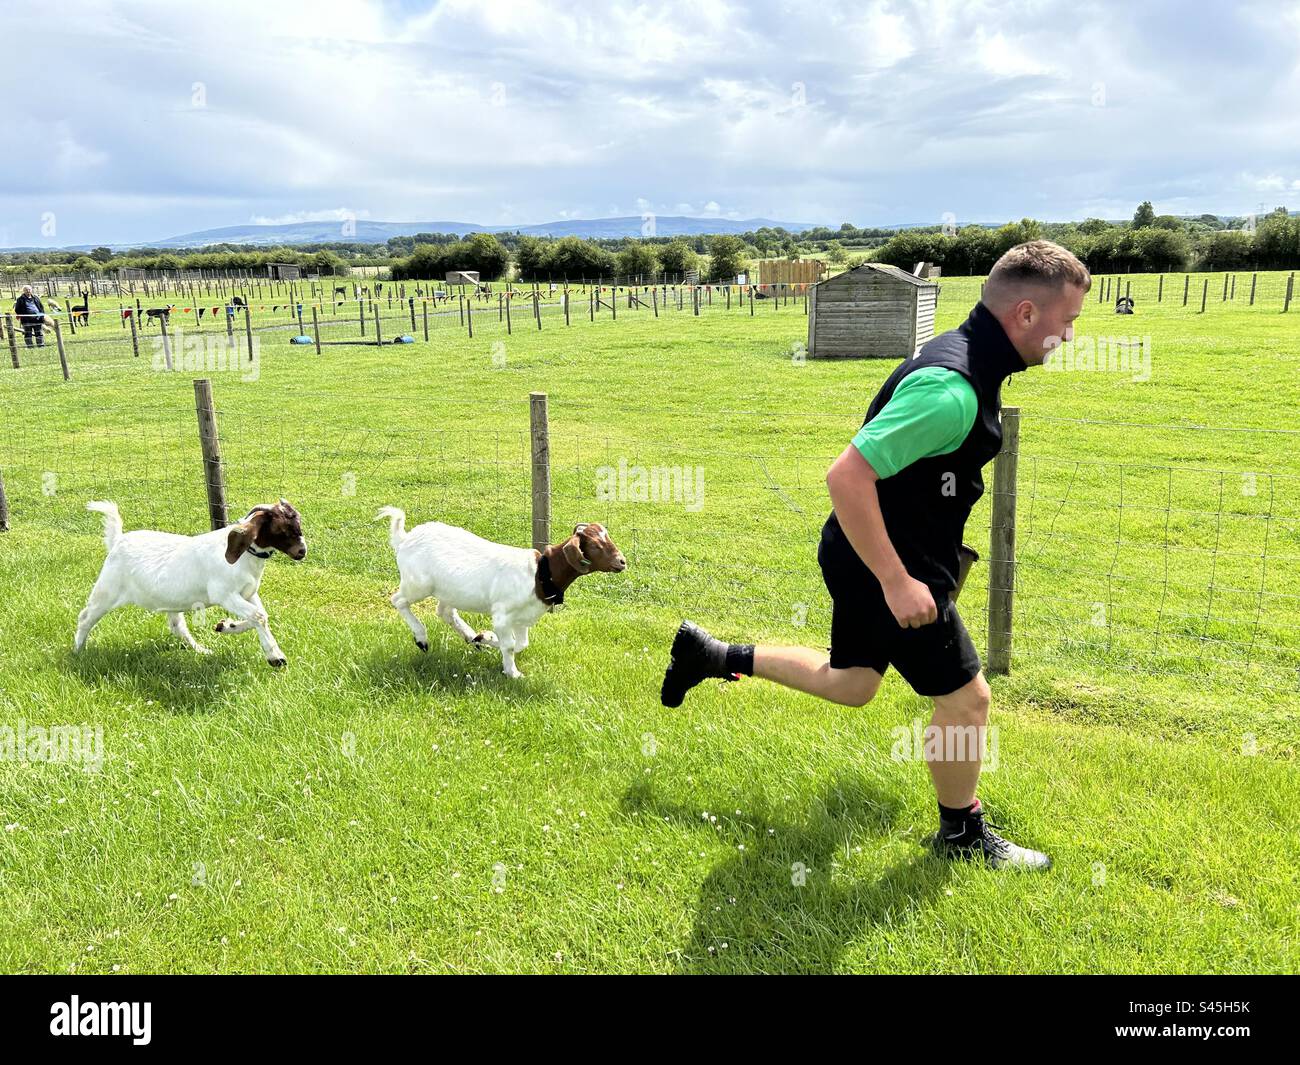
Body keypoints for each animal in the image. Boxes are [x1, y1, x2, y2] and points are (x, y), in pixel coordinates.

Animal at [75, 500, 307, 667]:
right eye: (282, 529)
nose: (302, 551)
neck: (245, 558)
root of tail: (117, 541)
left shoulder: (248, 593)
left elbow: (260, 615)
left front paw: (226, 626)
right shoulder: (225, 595)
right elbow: (259, 616)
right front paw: (276, 658)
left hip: (168, 602)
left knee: (177, 627)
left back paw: (201, 650)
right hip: (106, 590)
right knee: (85, 617)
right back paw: (77, 651)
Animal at [376, 508, 626, 679]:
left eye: (608, 538)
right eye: (595, 545)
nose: (622, 562)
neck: (539, 572)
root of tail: (404, 539)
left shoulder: (522, 619)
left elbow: (521, 644)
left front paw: (484, 638)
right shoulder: (502, 615)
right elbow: (509, 645)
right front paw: (512, 673)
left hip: (448, 590)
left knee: (445, 611)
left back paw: (471, 637)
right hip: (418, 584)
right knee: (398, 600)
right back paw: (422, 639)